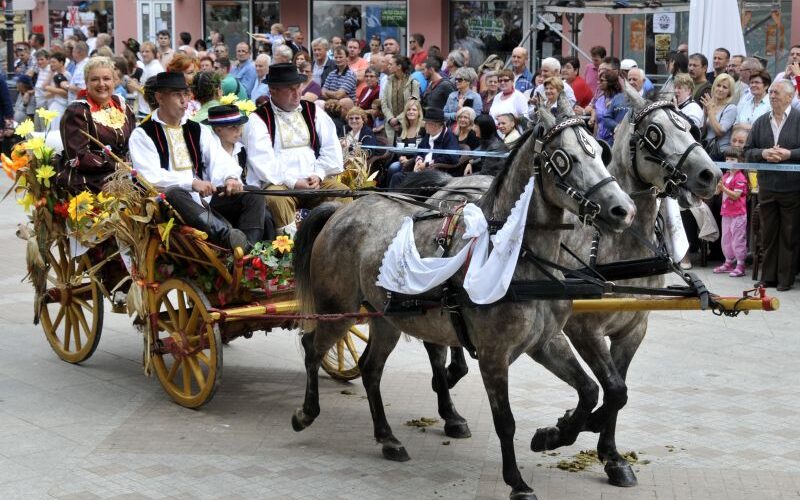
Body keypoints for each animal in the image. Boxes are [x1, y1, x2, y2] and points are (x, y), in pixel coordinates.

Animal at [291, 104, 636, 500]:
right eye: (565, 159)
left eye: (599, 152)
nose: (623, 210)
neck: (514, 255)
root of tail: (340, 211)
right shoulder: (493, 354)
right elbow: (505, 421)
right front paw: (517, 481)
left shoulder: (546, 342)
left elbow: (591, 390)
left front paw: (552, 435)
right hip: (337, 310)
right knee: (312, 348)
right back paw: (306, 413)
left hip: (385, 318)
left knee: (370, 368)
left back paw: (388, 438)